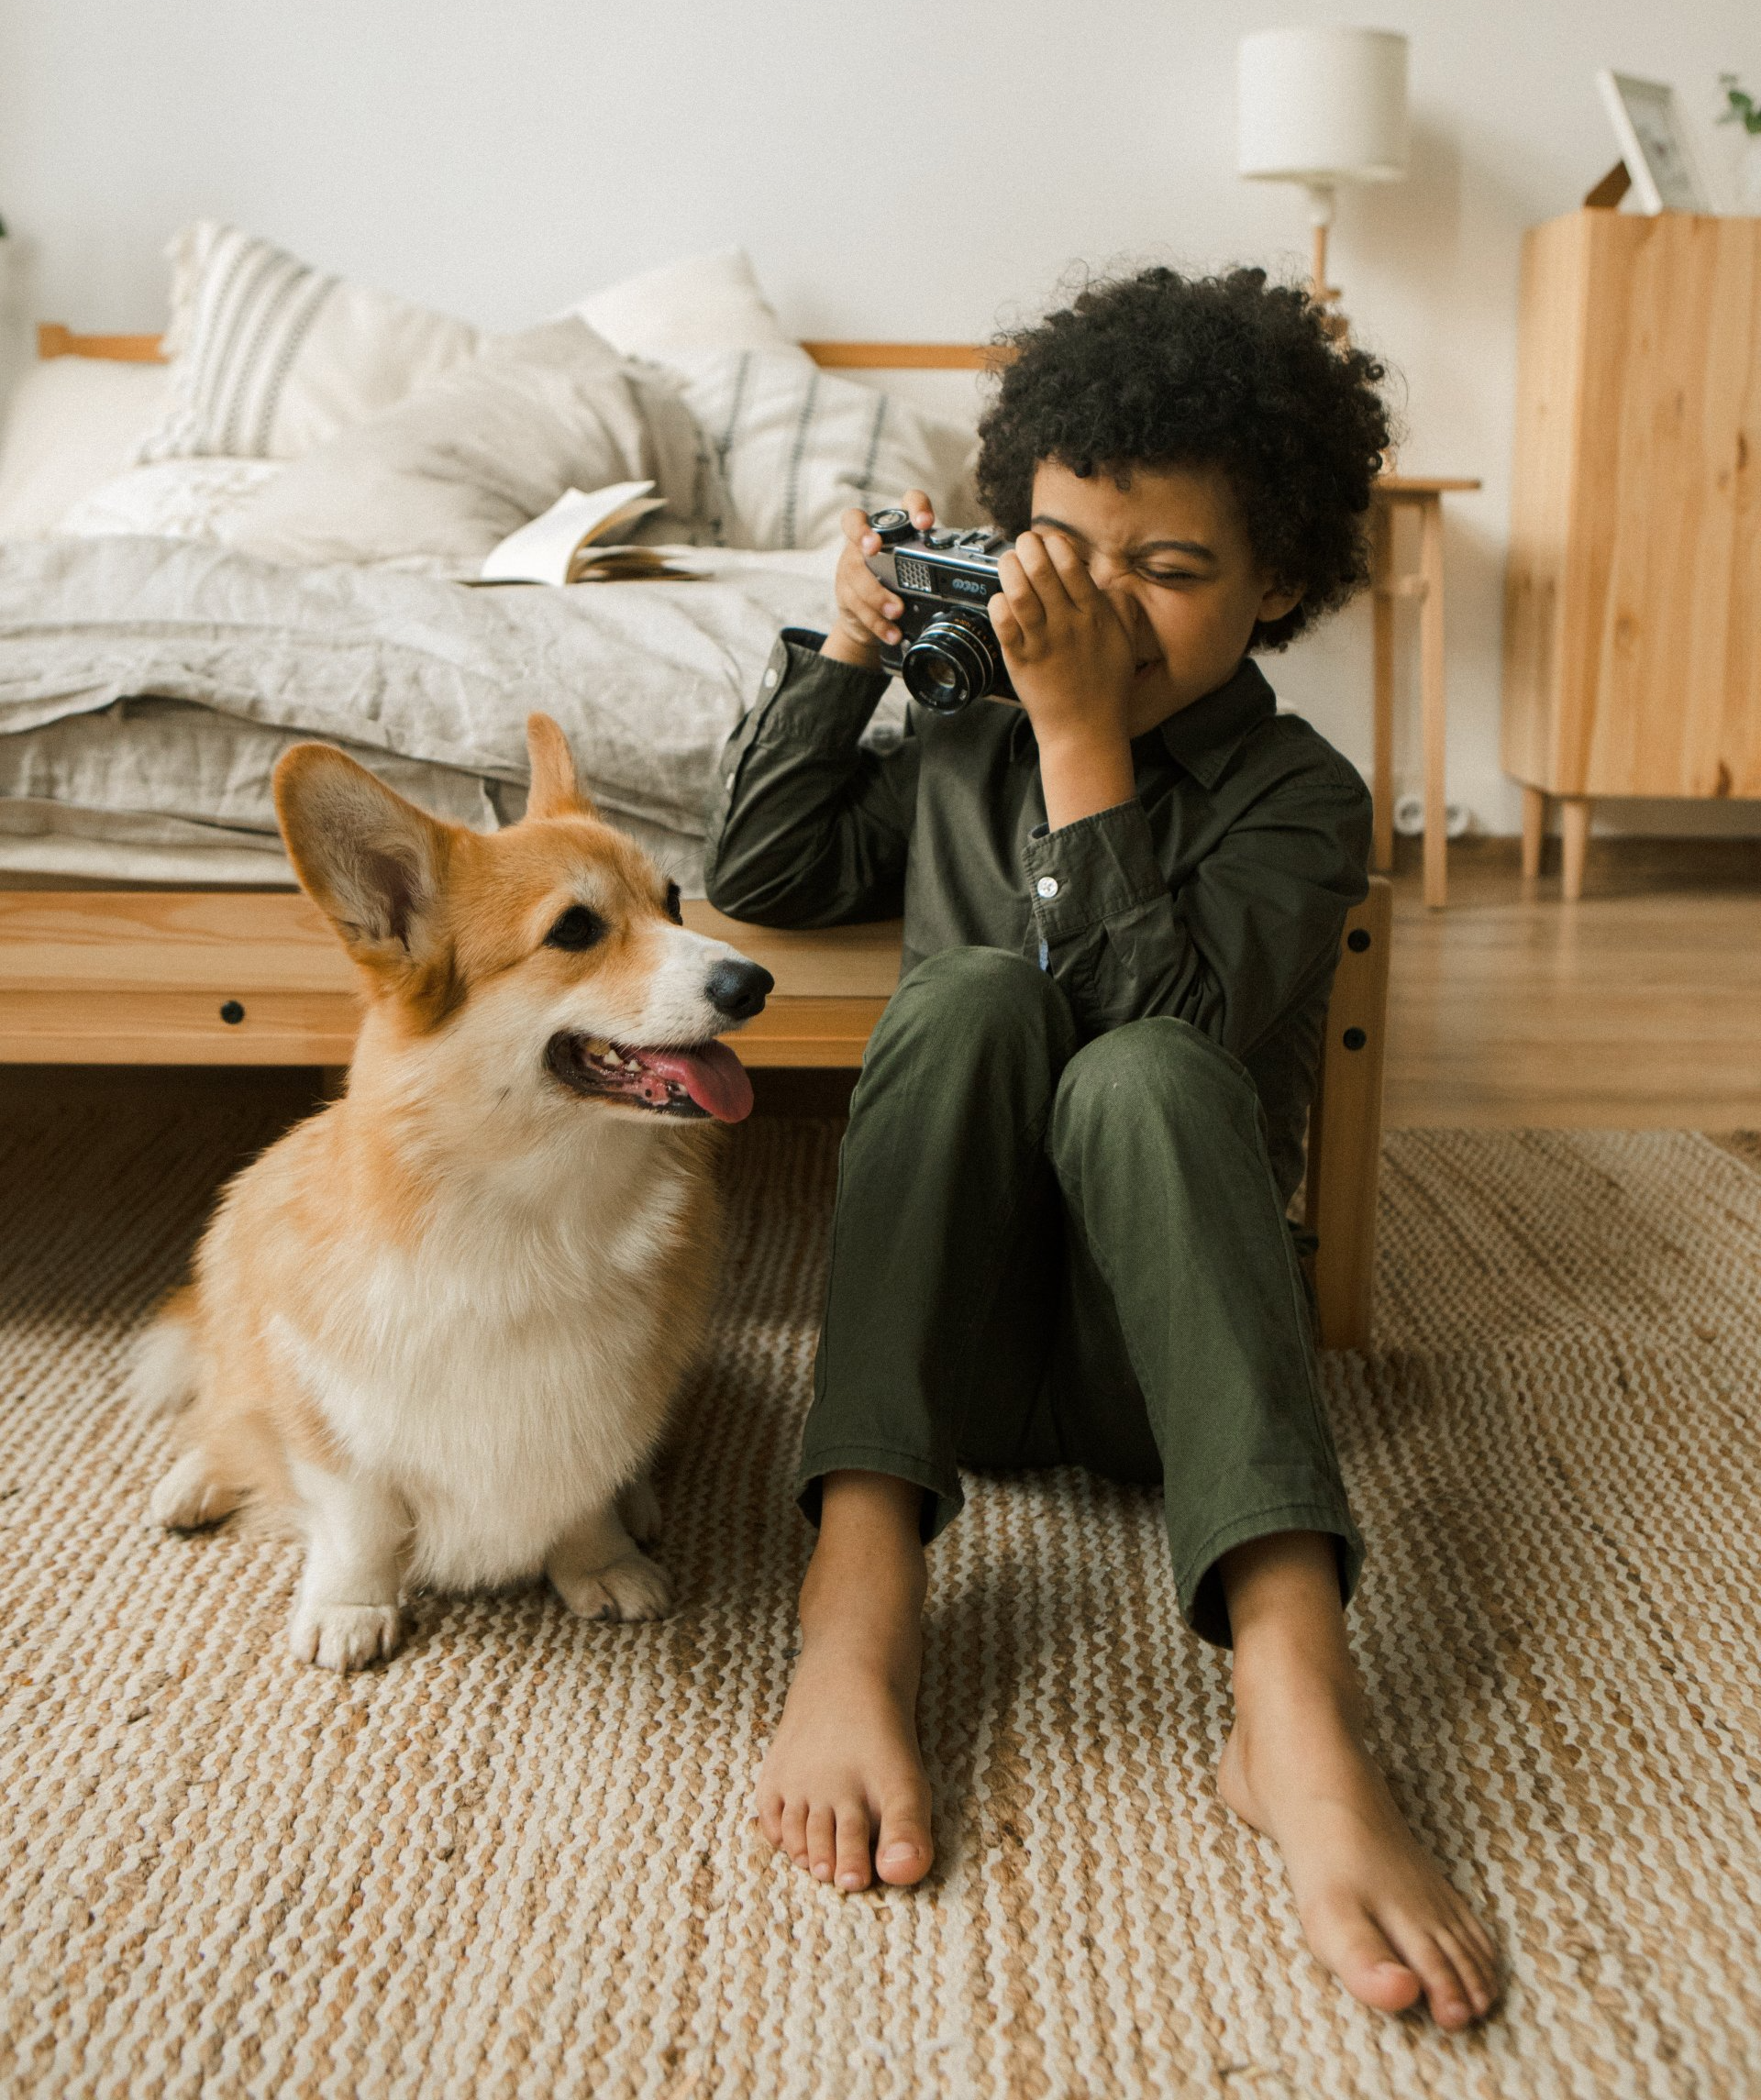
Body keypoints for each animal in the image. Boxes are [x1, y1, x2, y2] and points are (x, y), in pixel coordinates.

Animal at [134, 718, 769, 1671]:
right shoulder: (332, 1410)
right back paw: (194, 1480)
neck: (535, 1210)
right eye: (575, 929)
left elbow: (584, 1486)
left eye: (675, 903)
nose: (756, 982)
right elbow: (357, 1515)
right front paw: (352, 1605)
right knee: (226, 1398)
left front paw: (600, 1560)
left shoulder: (598, 1401)